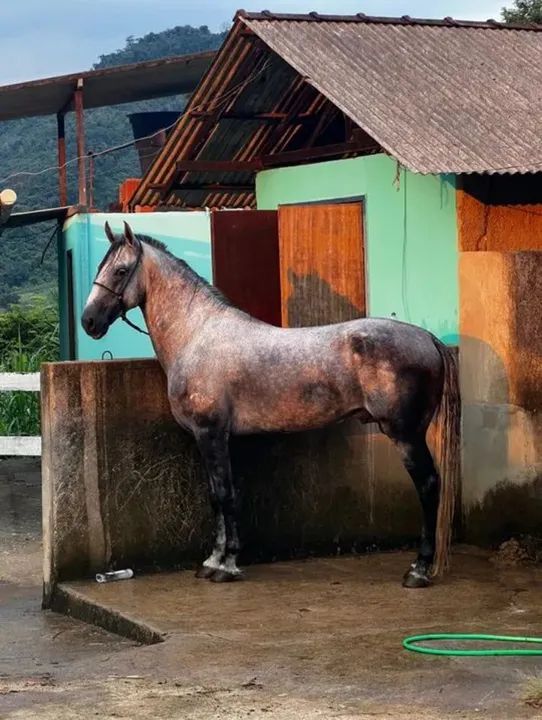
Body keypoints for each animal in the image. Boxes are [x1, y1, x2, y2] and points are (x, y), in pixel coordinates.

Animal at [82, 221, 460, 588]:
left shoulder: (211, 434)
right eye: (99, 267)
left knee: (428, 485)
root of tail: (427, 338)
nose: (89, 321)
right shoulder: (208, 439)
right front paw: (212, 561)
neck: (197, 335)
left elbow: (225, 495)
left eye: (120, 270)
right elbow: (215, 497)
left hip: (406, 435)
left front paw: (227, 565)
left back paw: (418, 570)